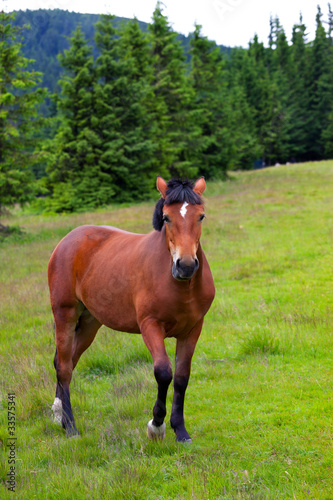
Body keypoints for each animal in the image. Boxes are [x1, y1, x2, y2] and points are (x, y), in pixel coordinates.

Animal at [48, 178, 215, 444]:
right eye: (166, 217)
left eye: (201, 216)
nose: (186, 266)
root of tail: (68, 240)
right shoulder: (150, 326)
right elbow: (163, 372)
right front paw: (156, 426)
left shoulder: (192, 329)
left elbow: (181, 377)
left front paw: (180, 430)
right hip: (65, 314)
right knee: (64, 368)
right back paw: (71, 427)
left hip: (89, 323)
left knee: (68, 362)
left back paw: (59, 416)